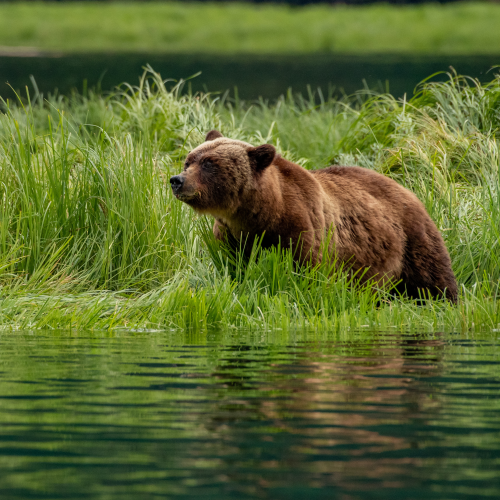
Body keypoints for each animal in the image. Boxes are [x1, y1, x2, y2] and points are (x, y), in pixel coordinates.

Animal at [170, 129, 458, 302]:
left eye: (209, 163)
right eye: (189, 160)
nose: (177, 180)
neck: (260, 212)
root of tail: (405, 187)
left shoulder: (300, 226)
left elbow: (306, 270)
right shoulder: (231, 236)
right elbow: (231, 266)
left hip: (411, 237)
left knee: (432, 276)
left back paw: (445, 300)